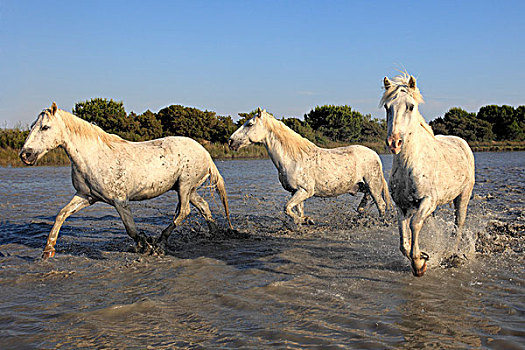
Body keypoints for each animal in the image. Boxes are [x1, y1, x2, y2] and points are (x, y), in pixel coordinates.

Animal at [19, 102, 231, 258]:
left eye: (45, 127)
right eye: (32, 126)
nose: (25, 155)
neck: (94, 157)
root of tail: (205, 153)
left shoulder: (119, 201)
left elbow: (130, 228)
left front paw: (146, 244)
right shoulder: (86, 196)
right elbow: (61, 214)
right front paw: (48, 250)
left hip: (185, 187)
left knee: (184, 212)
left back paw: (160, 241)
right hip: (187, 189)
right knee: (203, 207)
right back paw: (215, 233)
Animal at [228, 108, 388, 226]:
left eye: (250, 124)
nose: (231, 141)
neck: (293, 160)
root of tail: (375, 154)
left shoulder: (304, 191)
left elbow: (286, 208)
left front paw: (307, 220)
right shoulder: (296, 192)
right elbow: (296, 211)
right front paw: (304, 221)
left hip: (373, 185)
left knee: (381, 205)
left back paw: (383, 222)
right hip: (363, 186)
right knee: (367, 202)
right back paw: (362, 213)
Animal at [380, 75, 474, 278]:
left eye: (410, 106)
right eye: (387, 107)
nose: (394, 142)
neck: (409, 163)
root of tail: (461, 143)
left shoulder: (427, 200)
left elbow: (414, 225)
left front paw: (418, 263)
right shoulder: (402, 206)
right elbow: (403, 240)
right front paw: (422, 257)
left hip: (462, 196)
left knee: (458, 225)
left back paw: (452, 254)